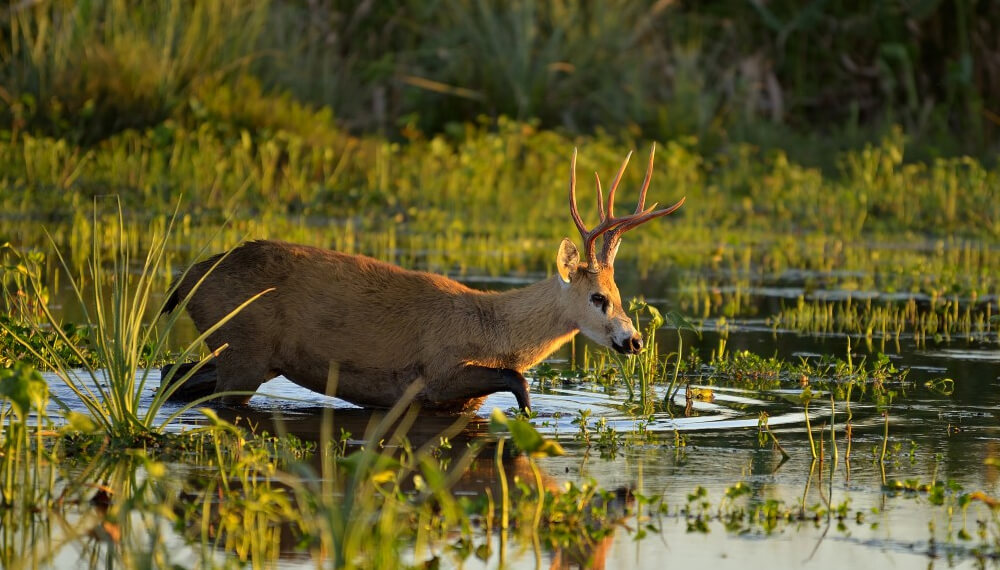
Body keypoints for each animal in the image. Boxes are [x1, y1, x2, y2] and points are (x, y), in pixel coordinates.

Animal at [162, 145, 680, 412]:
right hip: (244, 346)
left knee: (173, 375)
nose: (635, 341)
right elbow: (519, 380)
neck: (492, 327)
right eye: (598, 298)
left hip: (250, 353)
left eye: (620, 294)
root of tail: (187, 279)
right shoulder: (436, 374)